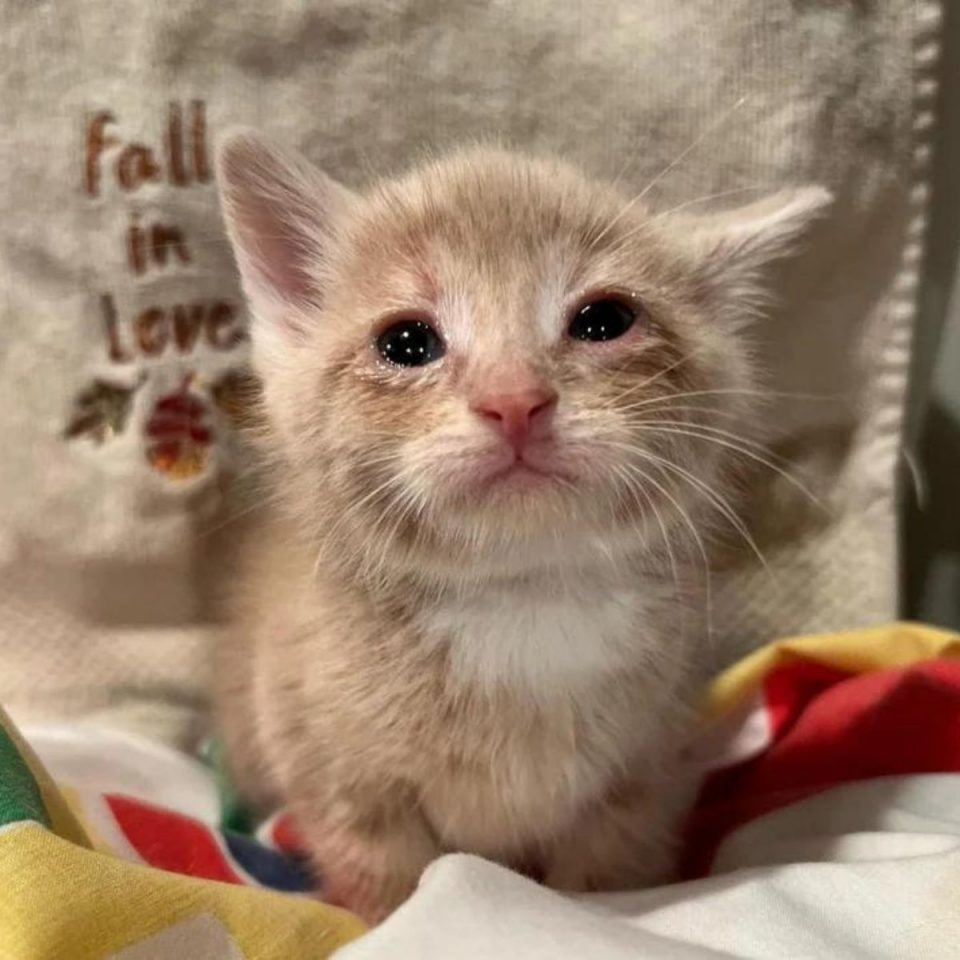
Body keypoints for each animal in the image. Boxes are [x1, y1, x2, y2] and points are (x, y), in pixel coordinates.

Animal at [214, 129, 828, 924]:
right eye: (406, 342)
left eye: (604, 321)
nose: (514, 400)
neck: (524, 598)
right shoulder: (330, 765)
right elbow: (383, 872)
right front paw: (393, 923)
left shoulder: (648, 768)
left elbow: (605, 871)